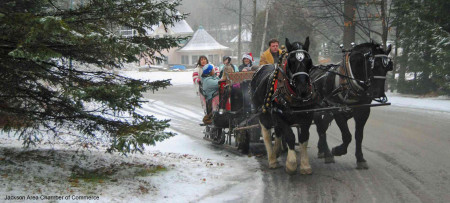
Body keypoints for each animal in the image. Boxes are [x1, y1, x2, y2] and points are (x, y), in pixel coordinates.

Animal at [251, 38, 314, 174]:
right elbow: (290, 137)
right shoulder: (280, 117)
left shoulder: (307, 117)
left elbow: (304, 138)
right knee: (267, 134)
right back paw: (272, 159)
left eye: (308, 61)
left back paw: (277, 151)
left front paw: (305, 166)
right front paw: (291, 164)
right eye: (291, 61)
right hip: (264, 114)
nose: (303, 88)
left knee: (278, 132)